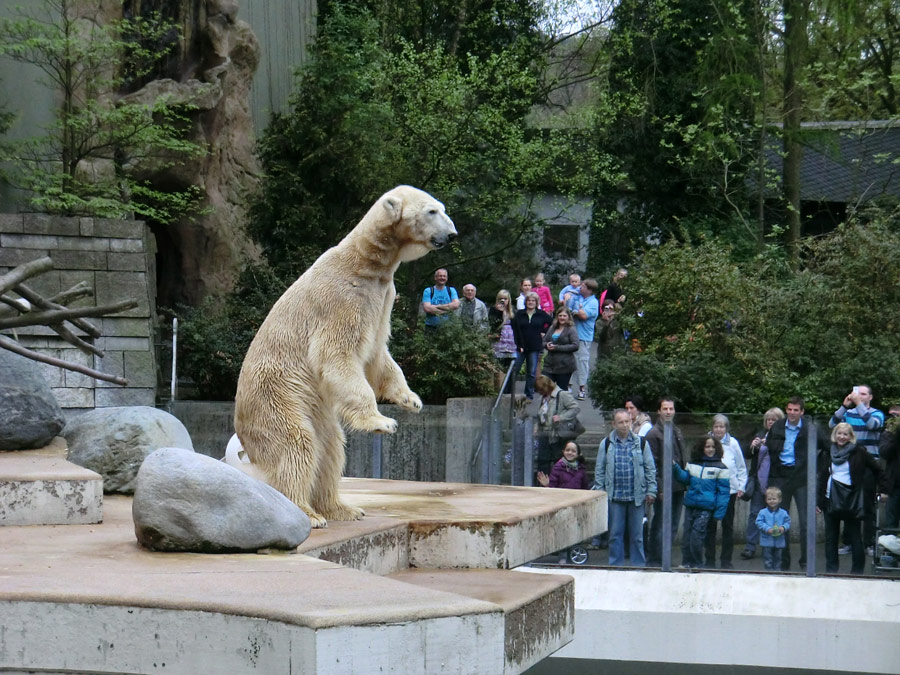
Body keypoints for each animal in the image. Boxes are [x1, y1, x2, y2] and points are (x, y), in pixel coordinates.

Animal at [234, 185, 458, 528]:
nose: (452, 234)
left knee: (331, 447)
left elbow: (378, 355)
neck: (365, 263)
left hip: (314, 407)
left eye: (441, 208)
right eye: (432, 211)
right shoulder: (343, 299)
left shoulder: (383, 299)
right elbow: (337, 355)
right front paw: (381, 422)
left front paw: (410, 400)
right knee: (296, 443)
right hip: (277, 394)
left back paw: (342, 508)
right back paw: (307, 513)